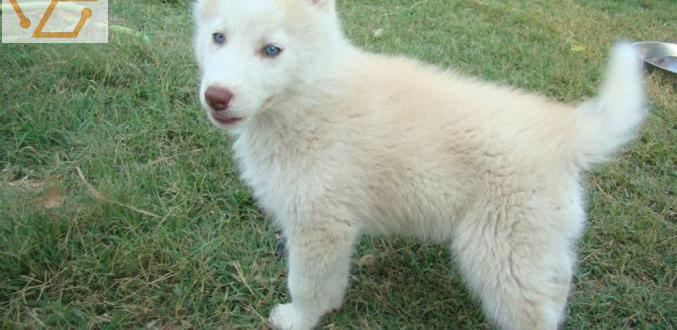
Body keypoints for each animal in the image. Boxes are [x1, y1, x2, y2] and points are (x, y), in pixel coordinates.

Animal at [191, 1, 644, 328]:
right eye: (218, 37)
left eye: (272, 50)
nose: (216, 96)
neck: (311, 95)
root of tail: (563, 128)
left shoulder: (319, 225)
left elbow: (306, 282)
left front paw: (299, 319)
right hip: (536, 241)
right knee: (559, 280)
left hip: (499, 251)